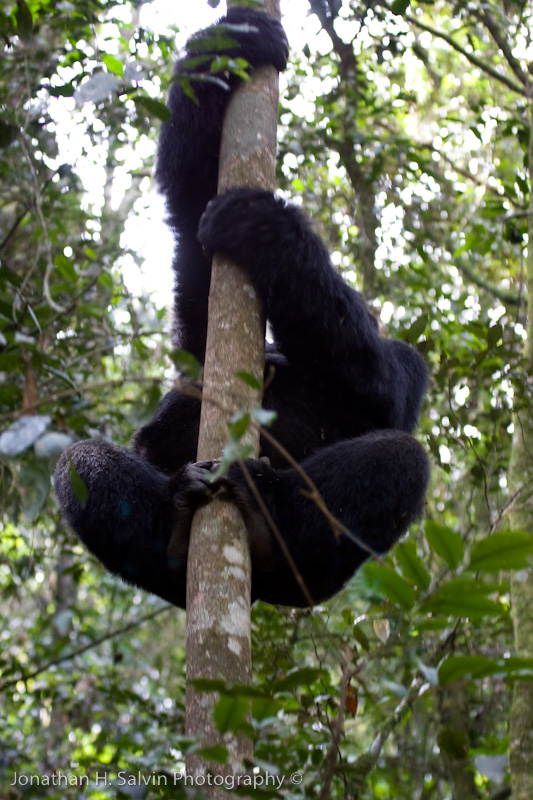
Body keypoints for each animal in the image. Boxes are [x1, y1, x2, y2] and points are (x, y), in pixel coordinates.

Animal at [54, 7, 428, 608]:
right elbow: (192, 218)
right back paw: (174, 533)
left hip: (311, 579)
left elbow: (382, 387)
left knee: (400, 458)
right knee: (81, 463)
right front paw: (236, 37)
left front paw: (270, 232)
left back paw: (268, 517)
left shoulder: (406, 362)